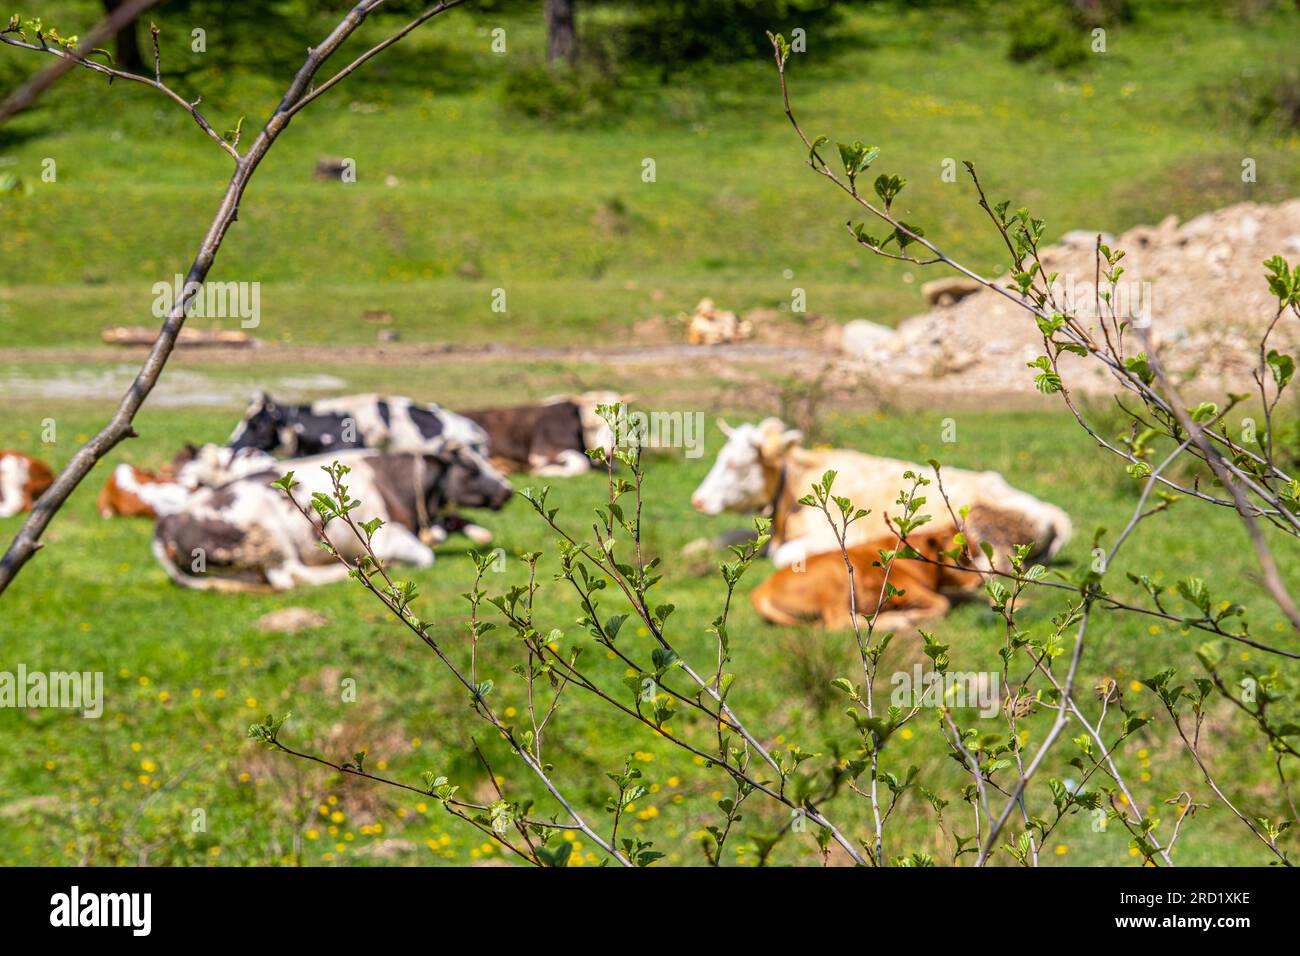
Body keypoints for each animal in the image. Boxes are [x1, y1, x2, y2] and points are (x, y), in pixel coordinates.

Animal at [152, 446, 512, 592]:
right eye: (471, 468)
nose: (507, 490)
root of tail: (166, 521)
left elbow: (452, 520)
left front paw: (478, 533)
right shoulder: (384, 537)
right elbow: (426, 555)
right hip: (267, 533)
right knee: (291, 576)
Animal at [461, 392, 621, 476]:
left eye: (619, 425)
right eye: (591, 426)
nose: (608, 453)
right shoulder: (543, 452)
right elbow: (580, 463)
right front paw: (545, 470)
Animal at [691, 418, 1071, 569]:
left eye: (736, 464)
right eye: (720, 457)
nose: (697, 500)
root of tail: (1050, 511)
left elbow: (782, 555)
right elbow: (729, 536)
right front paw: (693, 549)